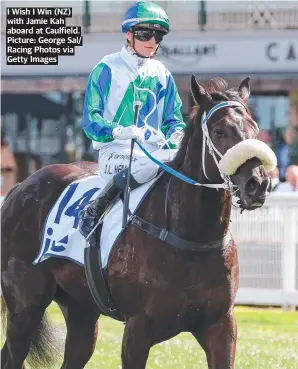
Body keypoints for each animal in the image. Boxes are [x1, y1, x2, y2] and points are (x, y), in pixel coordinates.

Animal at [1, 76, 276, 366]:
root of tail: (20, 186)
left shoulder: (220, 326)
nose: (258, 184)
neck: (191, 238)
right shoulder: (137, 328)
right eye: (219, 131)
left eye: (255, 129)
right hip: (24, 307)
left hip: (80, 310)